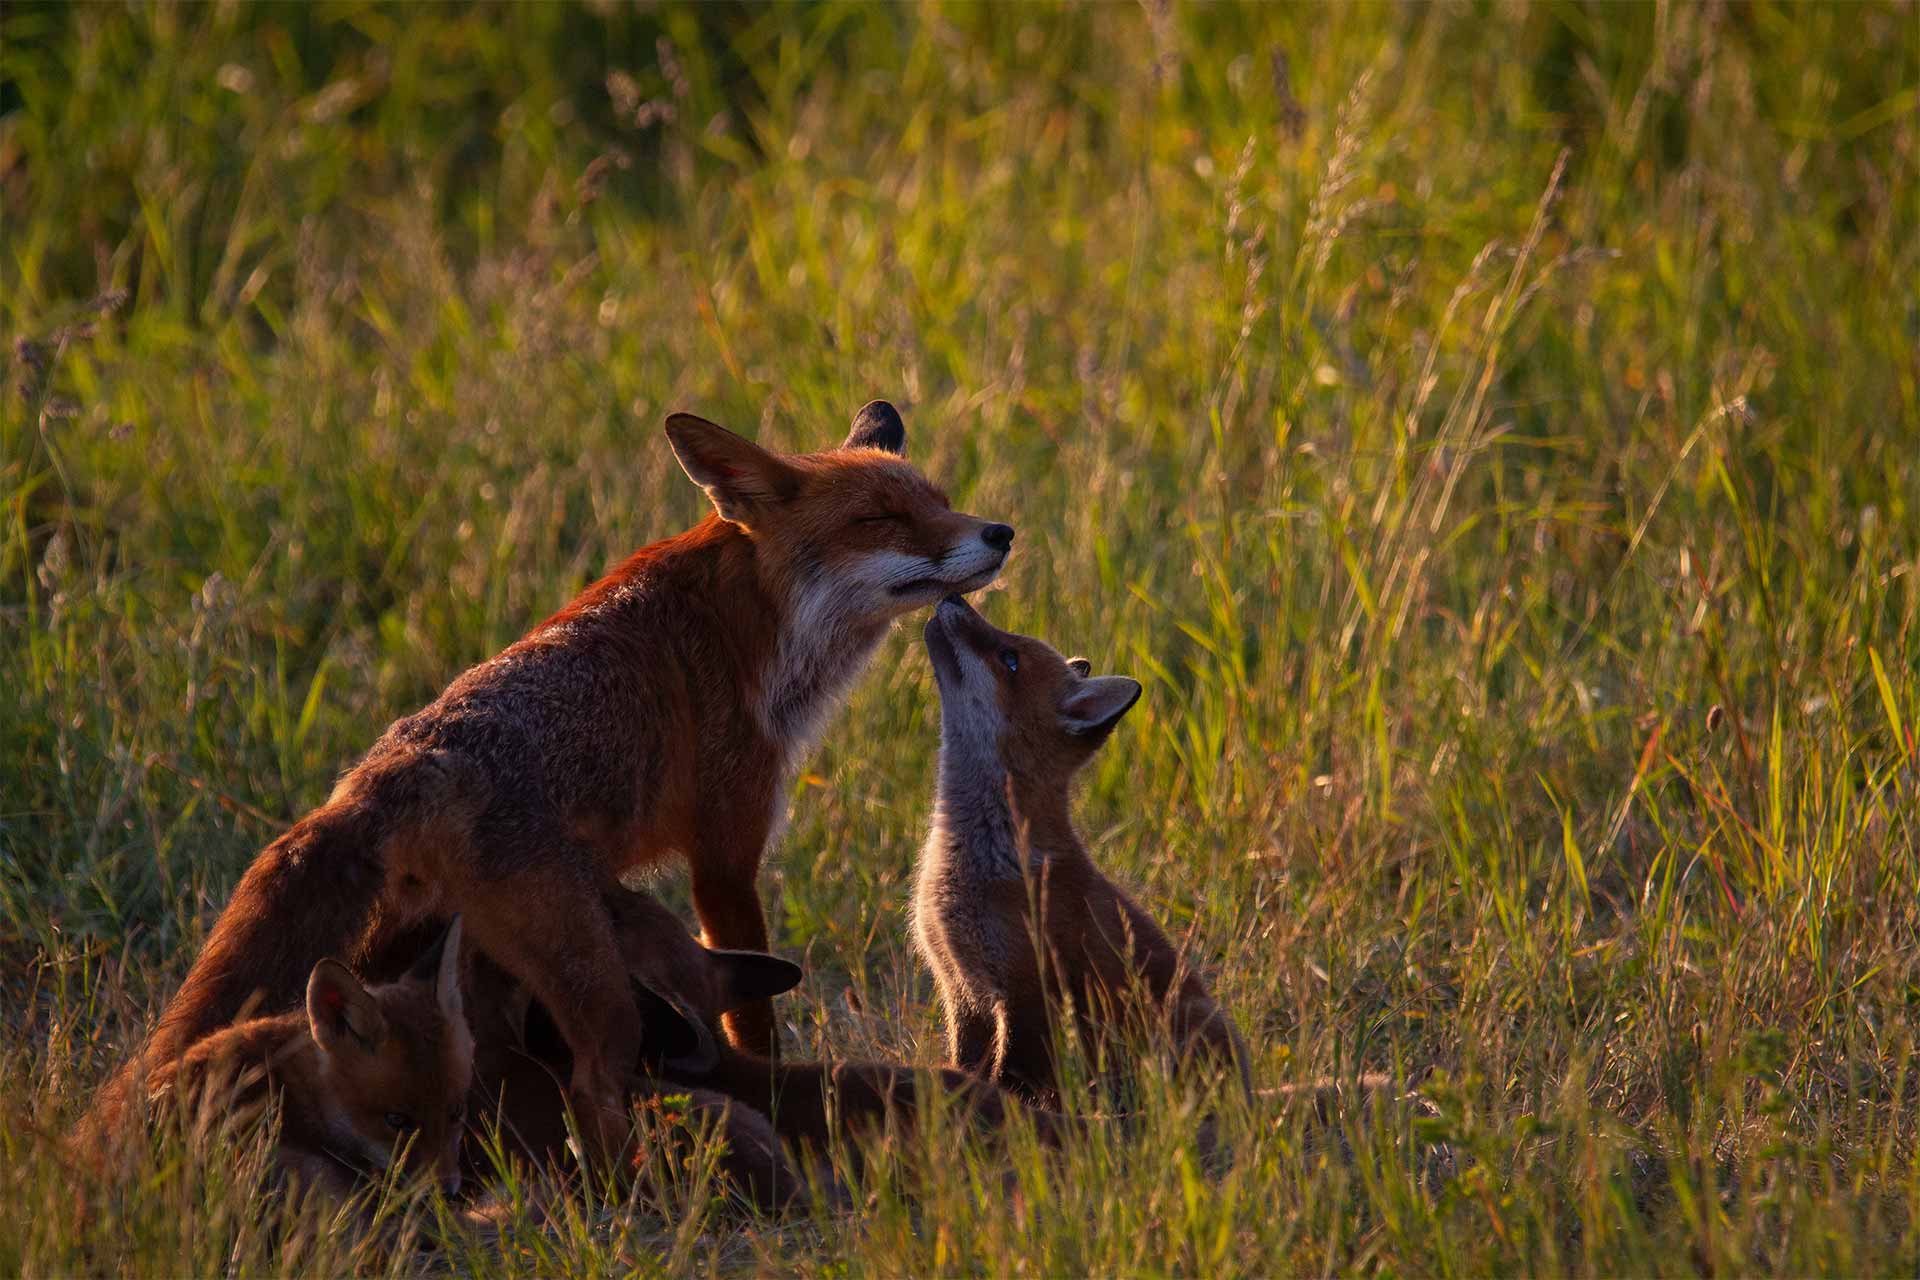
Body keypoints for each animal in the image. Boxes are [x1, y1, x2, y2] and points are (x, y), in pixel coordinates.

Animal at [85, 401, 1012, 1161]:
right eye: (880, 518)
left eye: (940, 500)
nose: (1000, 531)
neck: (755, 623)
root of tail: (399, 764)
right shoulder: (724, 853)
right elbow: (749, 1017)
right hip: (591, 980)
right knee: (598, 1088)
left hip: (407, 945)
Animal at [911, 595, 1252, 1107]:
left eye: (1010, 658)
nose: (954, 598)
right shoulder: (962, 990)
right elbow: (966, 1067)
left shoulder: (1026, 993)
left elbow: (1009, 1080)